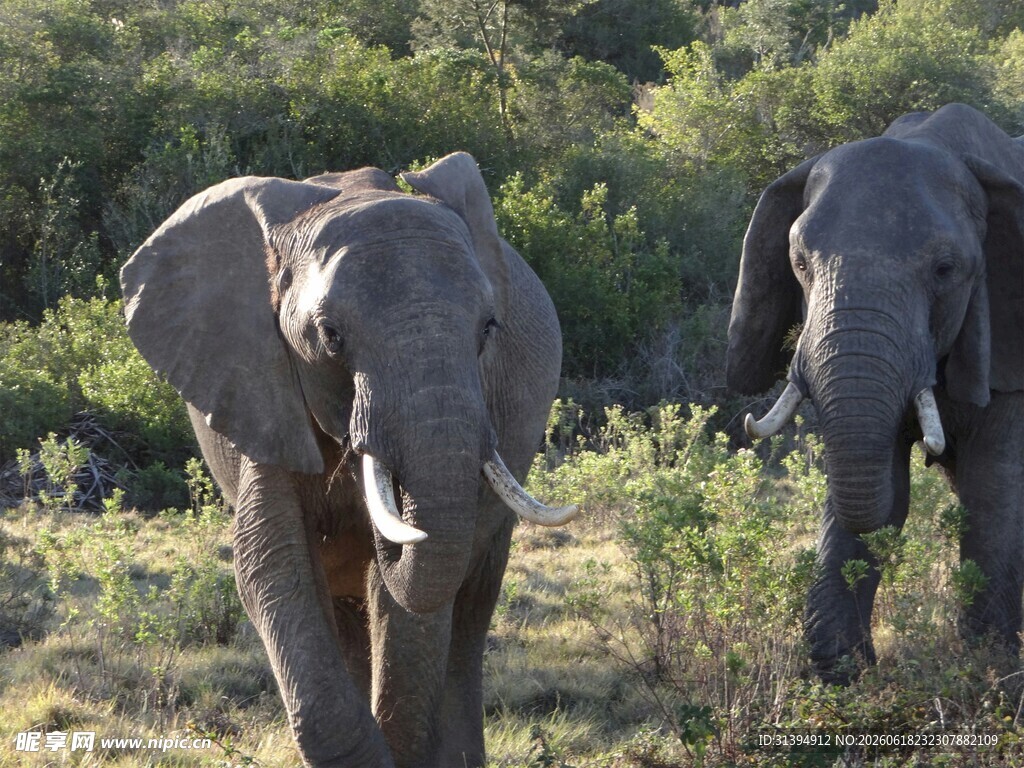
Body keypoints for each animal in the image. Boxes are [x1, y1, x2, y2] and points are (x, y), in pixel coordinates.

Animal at [120, 152, 577, 766]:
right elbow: (270, 562)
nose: (391, 526)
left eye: (489, 328)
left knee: (468, 611)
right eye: (330, 336)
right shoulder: (261, 386)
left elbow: (410, 603)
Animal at [727, 104, 1024, 681]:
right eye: (799, 263)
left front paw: (990, 670)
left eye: (945, 270)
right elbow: (884, 483)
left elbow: (993, 485)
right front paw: (841, 675)